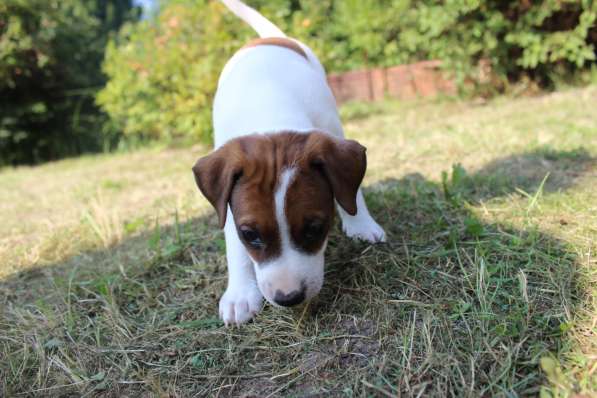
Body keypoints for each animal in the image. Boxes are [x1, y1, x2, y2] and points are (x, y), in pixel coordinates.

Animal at [193, 0, 384, 326]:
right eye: (250, 235)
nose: (289, 297)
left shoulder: (332, 131)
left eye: (315, 228)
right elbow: (233, 243)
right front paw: (240, 293)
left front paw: (360, 222)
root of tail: (268, 38)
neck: (269, 109)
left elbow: (351, 191)